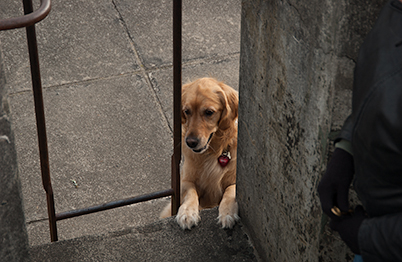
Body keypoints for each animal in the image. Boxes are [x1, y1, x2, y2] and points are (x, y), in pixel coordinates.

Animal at [160, 77, 239, 229]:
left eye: (209, 112)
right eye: (187, 111)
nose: (190, 142)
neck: (213, 151)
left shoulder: (235, 180)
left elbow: (230, 190)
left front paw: (227, 213)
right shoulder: (184, 180)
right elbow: (191, 191)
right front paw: (187, 212)